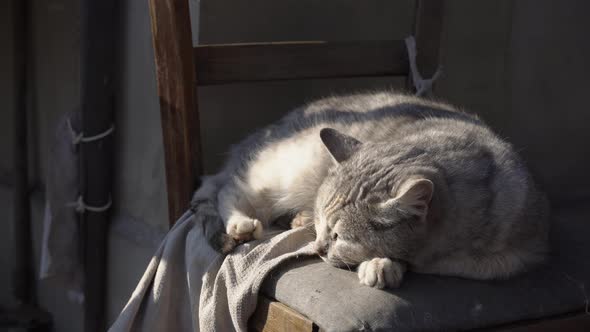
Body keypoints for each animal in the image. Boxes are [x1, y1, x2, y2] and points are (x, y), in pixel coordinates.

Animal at [193, 91, 552, 288]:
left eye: (340, 236)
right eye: (325, 229)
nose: (318, 247)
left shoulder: (509, 259)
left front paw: (384, 264)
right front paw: (383, 264)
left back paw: (296, 218)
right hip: (287, 172)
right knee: (228, 189)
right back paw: (242, 222)